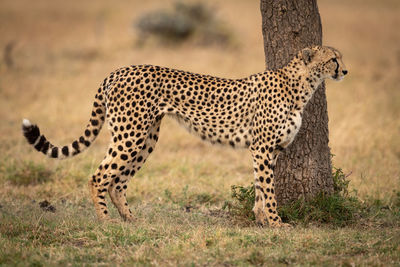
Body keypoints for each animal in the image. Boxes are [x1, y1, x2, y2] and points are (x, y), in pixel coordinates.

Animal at [21, 46, 346, 228]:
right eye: (333, 59)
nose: (345, 70)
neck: (301, 85)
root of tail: (118, 70)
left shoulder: (267, 149)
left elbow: (260, 188)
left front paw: (261, 221)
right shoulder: (263, 147)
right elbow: (268, 189)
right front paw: (278, 224)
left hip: (146, 137)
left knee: (118, 181)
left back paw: (130, 219)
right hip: (130, 134)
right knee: (99, 176)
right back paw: (105, 220)